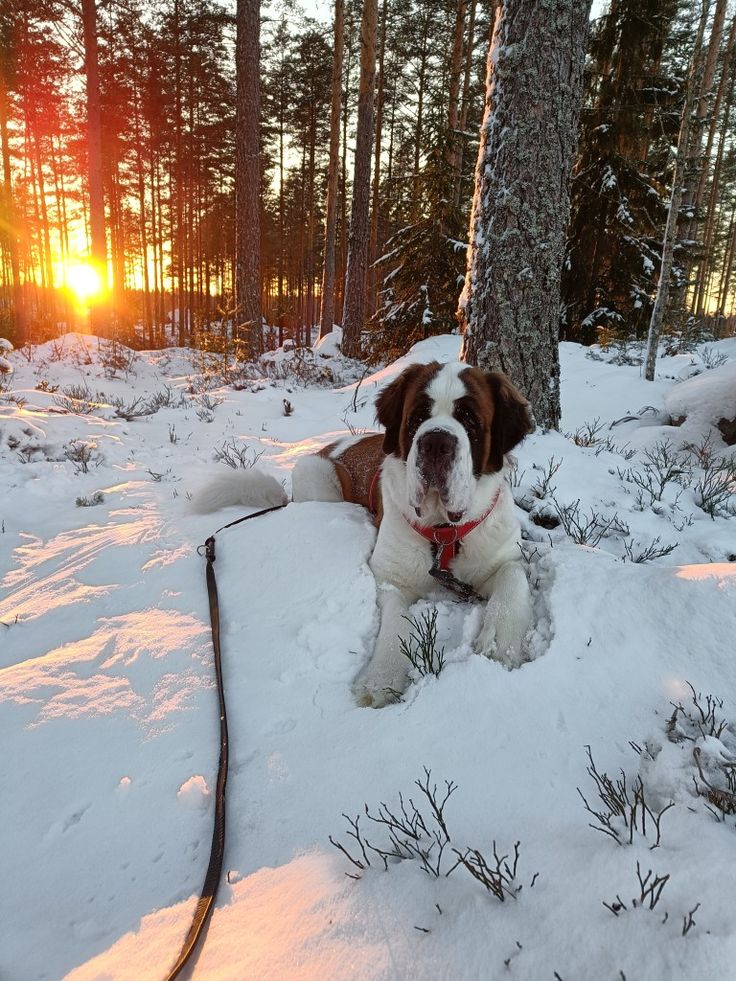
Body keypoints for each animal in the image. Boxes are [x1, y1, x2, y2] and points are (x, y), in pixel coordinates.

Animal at [196, 360, 536, 704]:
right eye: (417, 418)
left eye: (470, 420)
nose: (435, 443)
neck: (444, 533)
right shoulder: (391, 577)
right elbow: (396, 623)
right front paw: (381, 678)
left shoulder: (505, 554)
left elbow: (511, 581)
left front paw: (501, 644)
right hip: (316, 477)